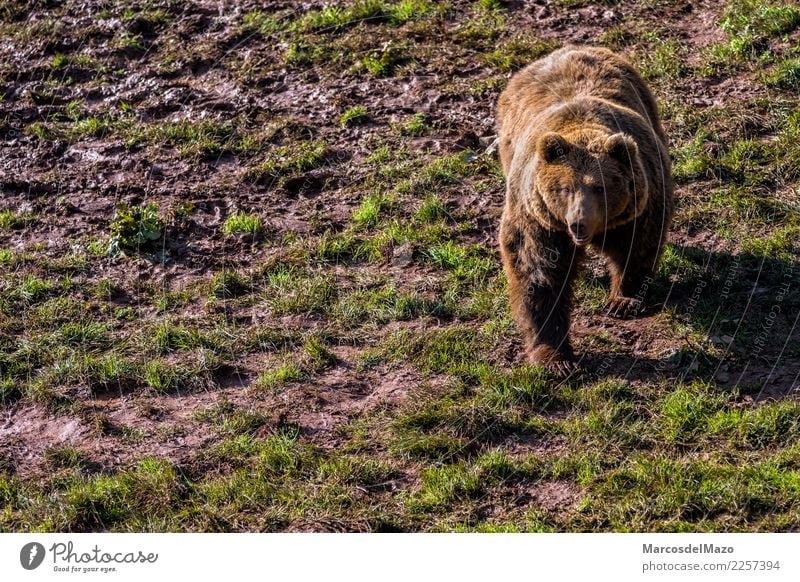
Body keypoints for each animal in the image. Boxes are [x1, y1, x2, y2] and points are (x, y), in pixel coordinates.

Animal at [496, 44, 672, 374]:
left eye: (599, 187)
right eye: (564, 188)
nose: (578, 222)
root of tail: (568, 49)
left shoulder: (640, 204)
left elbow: (637, 245)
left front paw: (622, 300)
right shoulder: (540, 221)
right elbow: (540, 275)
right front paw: (556, 358)